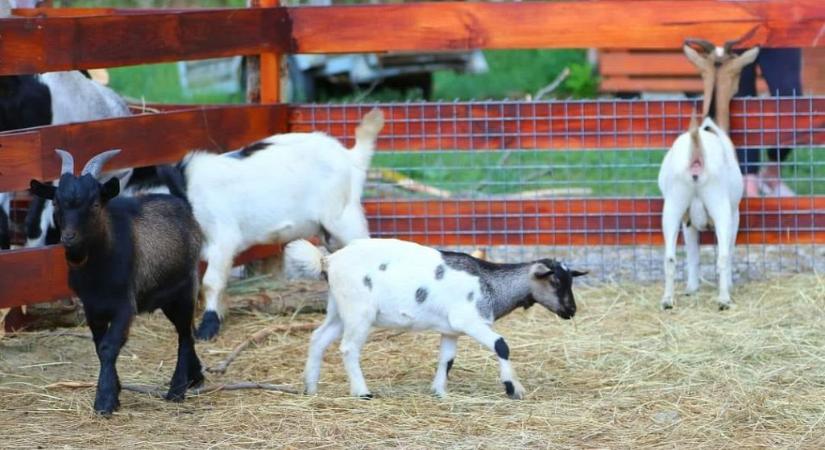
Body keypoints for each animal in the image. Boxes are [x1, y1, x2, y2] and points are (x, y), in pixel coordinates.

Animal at [29, 149, 204, 416]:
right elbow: (99, 345)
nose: (69, 238)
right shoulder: (92, 307)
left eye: (95, 203)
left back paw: (177, 390)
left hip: (184, 289)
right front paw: (115, 391)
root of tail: (183, 203)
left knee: (184, 334)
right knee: (187, 332)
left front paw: (105, 400)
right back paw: (195, 377)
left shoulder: (124, 306)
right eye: (56, 202)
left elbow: (109, 347)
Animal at [286, 237, 584, 400]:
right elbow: (501, 345)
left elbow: (447, 359)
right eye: (555, 281)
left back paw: (310, 387)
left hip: (338, 309)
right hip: (359, 310)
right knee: (348, 348)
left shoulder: (451, 330)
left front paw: (439, 391)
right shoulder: (469, 321)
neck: (490, 284)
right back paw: (362, 392)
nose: (571, 310)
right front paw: (514, 389)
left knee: (318, 338)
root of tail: (328, 261)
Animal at [656, 41, 760, 310]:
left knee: (669, 257)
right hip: (720, 204)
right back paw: (724, 299)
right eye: (739, 73)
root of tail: (696, 151)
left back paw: (667, 300)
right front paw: (728, 287)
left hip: (673, 205)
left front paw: (691, 289)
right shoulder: (735, 212)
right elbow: (729, 250)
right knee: (722, 255)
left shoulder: (687, 220)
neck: (711, 123)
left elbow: (692, 254)